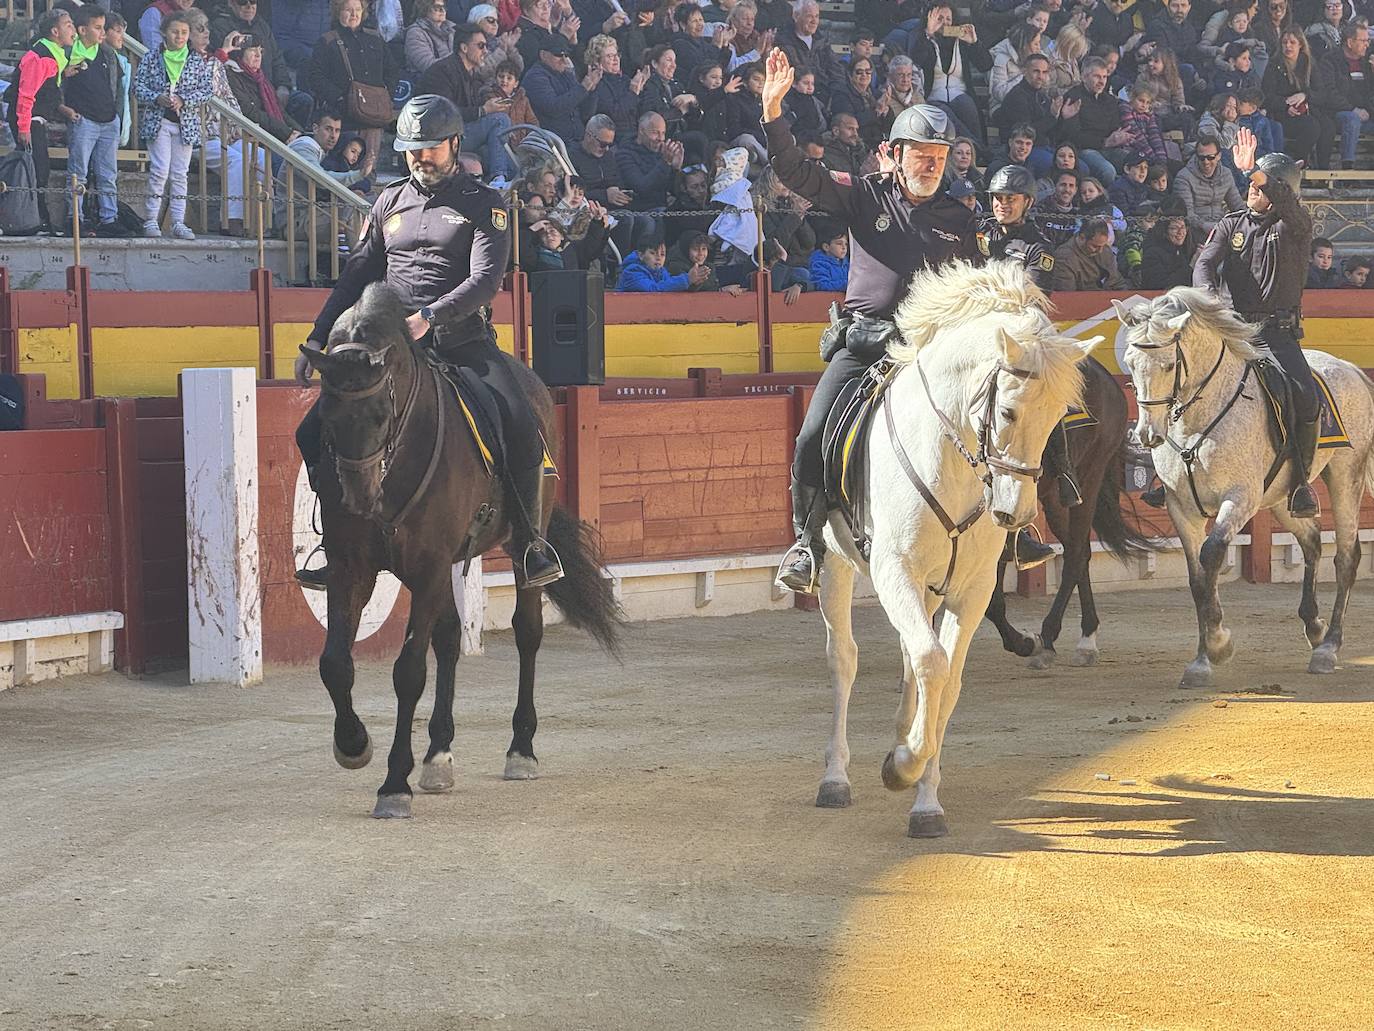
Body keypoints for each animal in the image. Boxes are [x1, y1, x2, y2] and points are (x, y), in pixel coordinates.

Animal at [305, 283, 623, 813]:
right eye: (327, 414)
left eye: (380, 414)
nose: (358, 499)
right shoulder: (354, 567)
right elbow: (334, 663)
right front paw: (353, 744)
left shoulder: (429, 567)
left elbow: (409, 671)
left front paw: (394, 784)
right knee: (450, 639)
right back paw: (438, 755)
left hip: (519, 546)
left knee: (527, 632)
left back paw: (521, 750)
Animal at [813, 259, 1093, 841]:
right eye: (1007, 411)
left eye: (1059, 416)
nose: (1015, 514)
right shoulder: (894, 571)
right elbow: (930, 661)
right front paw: (903, 767)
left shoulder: (972, 587)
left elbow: (947, 678)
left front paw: (922, 795)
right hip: (835, 566)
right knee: (844, 659)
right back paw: (836, 777)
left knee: (911, 658)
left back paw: (900, 736)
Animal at [983, 360, 1165, 670]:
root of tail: (1108, 378)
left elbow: (991, 598)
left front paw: (1026, 643)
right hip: (1054, 498)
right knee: (1077, 551)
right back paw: (1085, 635)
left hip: (1089, 478)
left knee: (1077, 552)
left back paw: (1057, 638)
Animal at [1115, 288, 1374, 687]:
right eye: (1129, 363)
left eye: (1169, 365)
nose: (1146, 434)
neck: (1197, 420)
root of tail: (1351, 369)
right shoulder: (1181, 507)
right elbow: (1197, 577)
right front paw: (1204, 657)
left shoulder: (1239, 499)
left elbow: (1212, 555)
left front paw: (1217, 645)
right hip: (1283, 496)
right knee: (1312, 540)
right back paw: (1313, 626)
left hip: (1347, 476)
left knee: (1347, 555)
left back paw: (1329, 647)